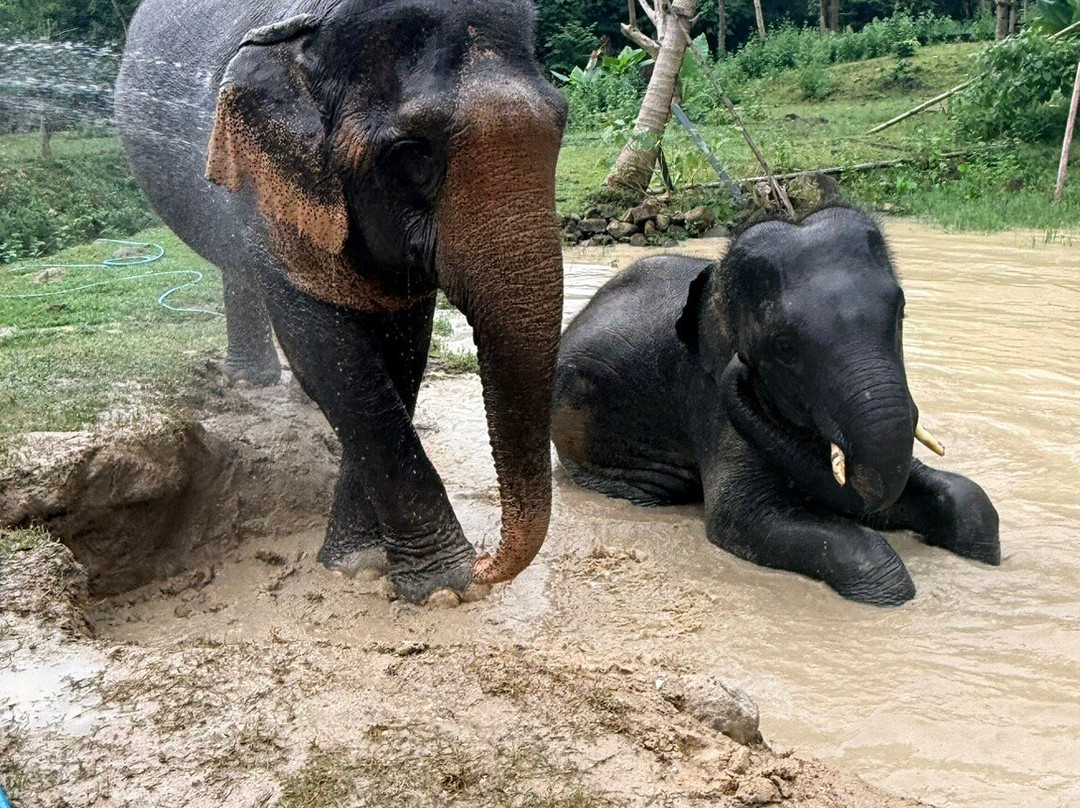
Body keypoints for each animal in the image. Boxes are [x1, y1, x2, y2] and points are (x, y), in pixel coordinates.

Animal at [115, 0, 568, 604]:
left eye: (562, 125)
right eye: (411, 154)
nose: (487, 563)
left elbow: (401, 355)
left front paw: (368, 564)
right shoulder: (271, 190)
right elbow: (332, 356)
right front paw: (438, 585)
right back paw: (249, 382)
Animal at [551, 207, 1000, 605]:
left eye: (901, 311)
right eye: (784, 347)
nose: (740, 366)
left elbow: (962, 499)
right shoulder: (710, 402)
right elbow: (737, 516)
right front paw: (890, 593)